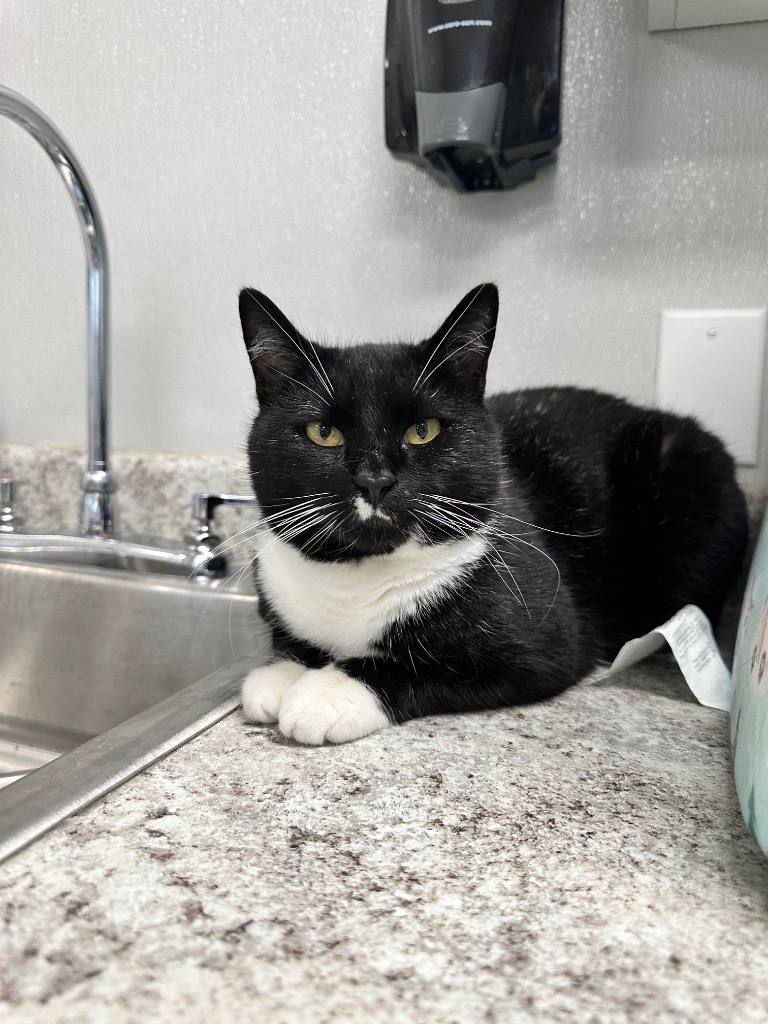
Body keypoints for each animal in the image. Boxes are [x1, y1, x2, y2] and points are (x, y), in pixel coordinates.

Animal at [239, 286, 745, 745]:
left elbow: (422, 667)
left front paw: (328, 692)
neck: (356, 576)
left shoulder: (547, 647)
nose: (375, 480)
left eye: (423, 430)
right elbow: (292, 640)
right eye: (322, 432)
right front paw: (282, 674)